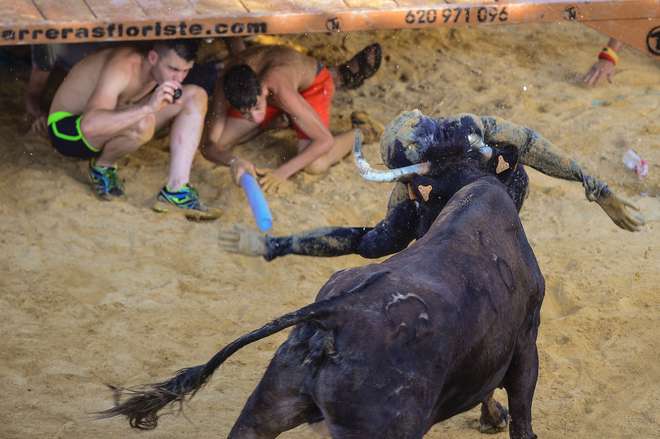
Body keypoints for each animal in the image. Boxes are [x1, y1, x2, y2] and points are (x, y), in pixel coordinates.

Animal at [102, 112, 548, 439]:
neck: (469, 190)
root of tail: (334, 314)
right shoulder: (527, 341)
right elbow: (521, 410)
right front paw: (498, 417)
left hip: (267, 406)